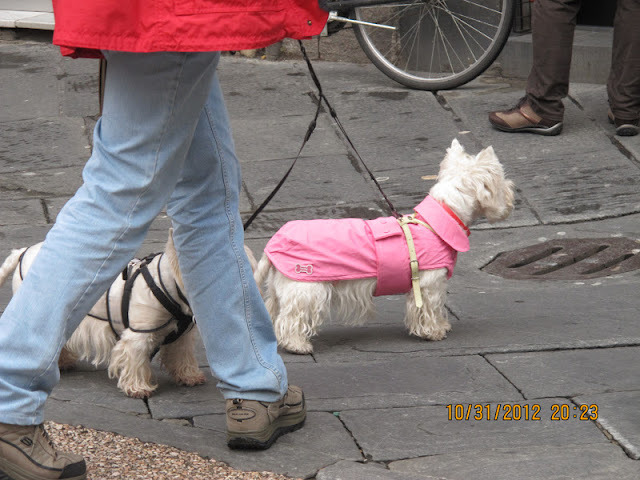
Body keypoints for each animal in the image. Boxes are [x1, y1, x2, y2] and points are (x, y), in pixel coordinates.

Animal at [0, 229, 257, 398]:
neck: (170, 286)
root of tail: (22, 252)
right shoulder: (139, 334)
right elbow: (136, 359)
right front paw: (139, 388)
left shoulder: (181, 337)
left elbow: (182, 355)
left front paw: (189, 376)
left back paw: (62, 362)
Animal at [253, 139, 515, 354]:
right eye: (502, 180)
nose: (514, 194)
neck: (437, 221)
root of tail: (272, 245)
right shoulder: (429, 282)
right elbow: (430, 306)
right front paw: (434, 331)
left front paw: (442, 325)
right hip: (306, 287)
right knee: (291, 318)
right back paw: (298, 345)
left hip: (281, 288)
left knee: (274, 311)